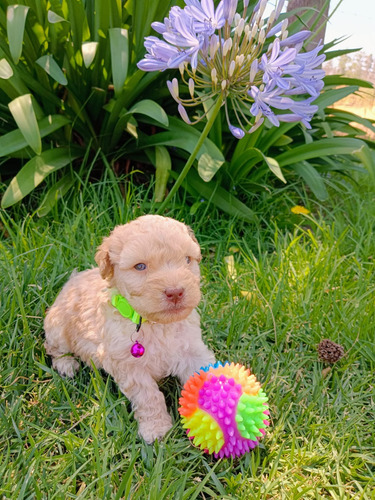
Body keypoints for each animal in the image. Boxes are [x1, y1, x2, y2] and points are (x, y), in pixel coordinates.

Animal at [43, 214, 214, 442]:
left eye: (187, 260)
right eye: (140, 267)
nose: (176, 292)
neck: (155, 324)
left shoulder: (192, 349)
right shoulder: (128, 365)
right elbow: (149, 397)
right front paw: (156, 430)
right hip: (58, 326)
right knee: (53, 347)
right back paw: (66, 365)